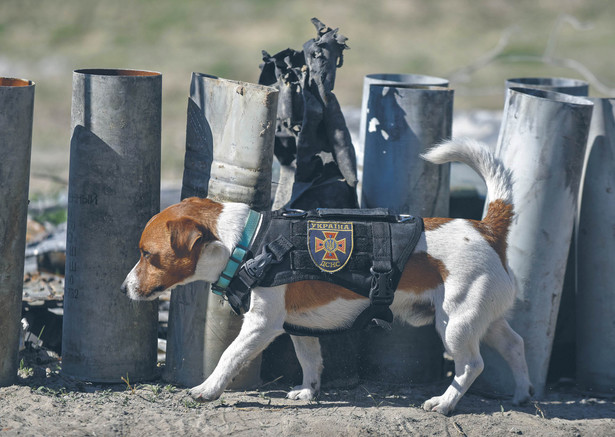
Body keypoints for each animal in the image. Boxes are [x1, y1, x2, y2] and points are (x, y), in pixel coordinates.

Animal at [121, 138, 536, 414]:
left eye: (148, 255)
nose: (123, 289)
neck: (246, 242)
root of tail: (487, 228)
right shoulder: (299, 327)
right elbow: (310, 361)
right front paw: (308, 391)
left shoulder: (261, 325)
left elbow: (228, 357)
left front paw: (207, 389)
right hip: (485, 319)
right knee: (515, 345)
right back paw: (522, 394)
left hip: (455, 325)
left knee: (471, 365)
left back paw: (445, 402)